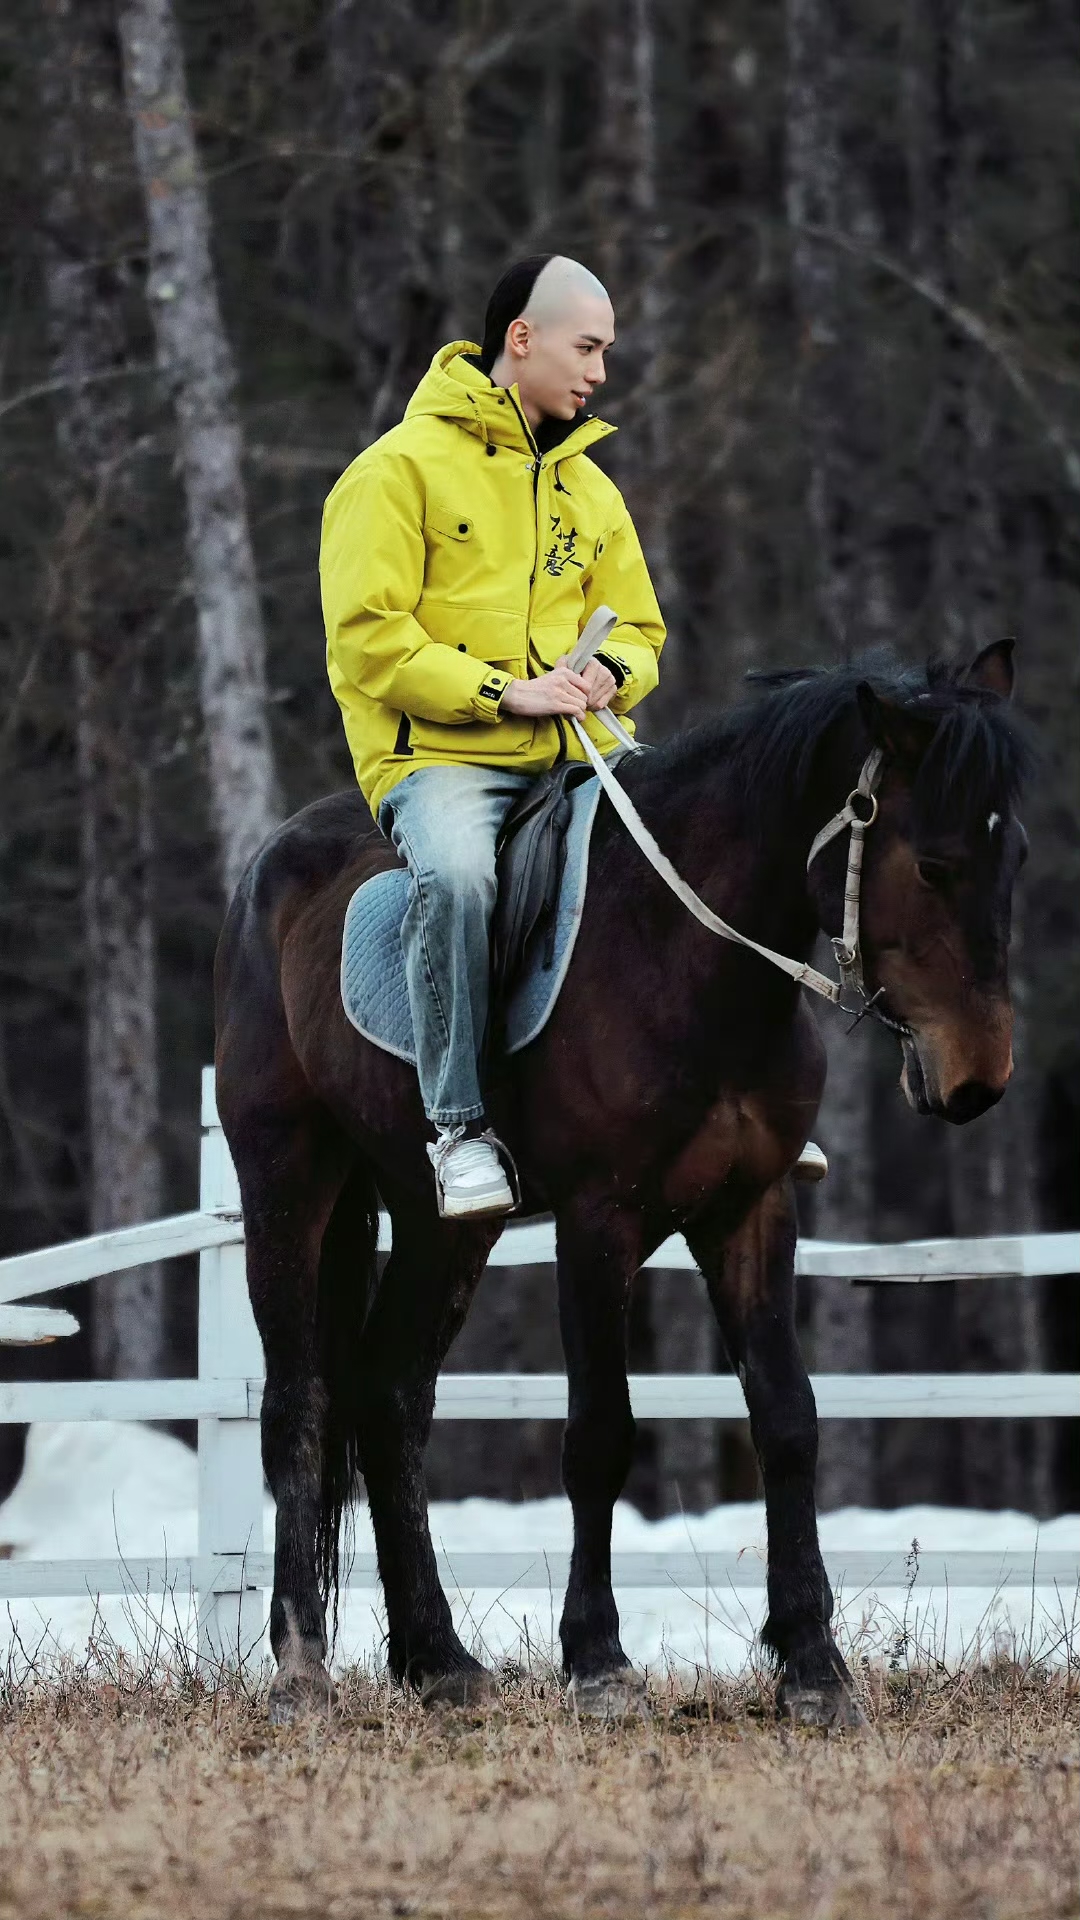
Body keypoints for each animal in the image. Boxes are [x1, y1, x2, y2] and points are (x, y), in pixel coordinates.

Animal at [212, 645, 1022, 1728]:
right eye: (932, 864)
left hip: (441, 1224)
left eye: (1015, 858)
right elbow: (601, 1430)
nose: (978, 1079)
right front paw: (597, 1661)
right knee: (298, 1404)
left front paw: (814, 1666)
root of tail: (268, 870)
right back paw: (300, 1667)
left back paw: (440, 1660)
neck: (688, 960)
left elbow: (788, 1419)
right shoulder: (600, 1222)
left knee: (389, 1397)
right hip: (289, 1182)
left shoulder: (752, 1213)